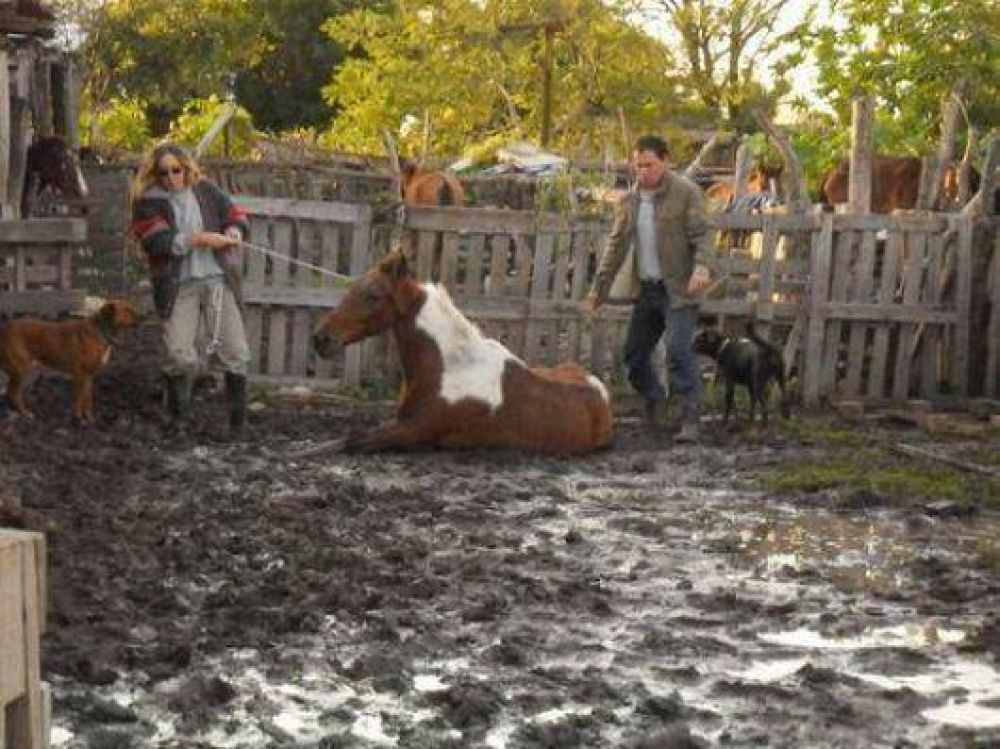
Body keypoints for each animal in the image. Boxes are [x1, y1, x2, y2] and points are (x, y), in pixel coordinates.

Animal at [311, 252, 614, 453]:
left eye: (374, 296)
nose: (321, 338)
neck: (450, 369)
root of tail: (600, 388)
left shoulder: (412, 430)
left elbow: (348, 442)